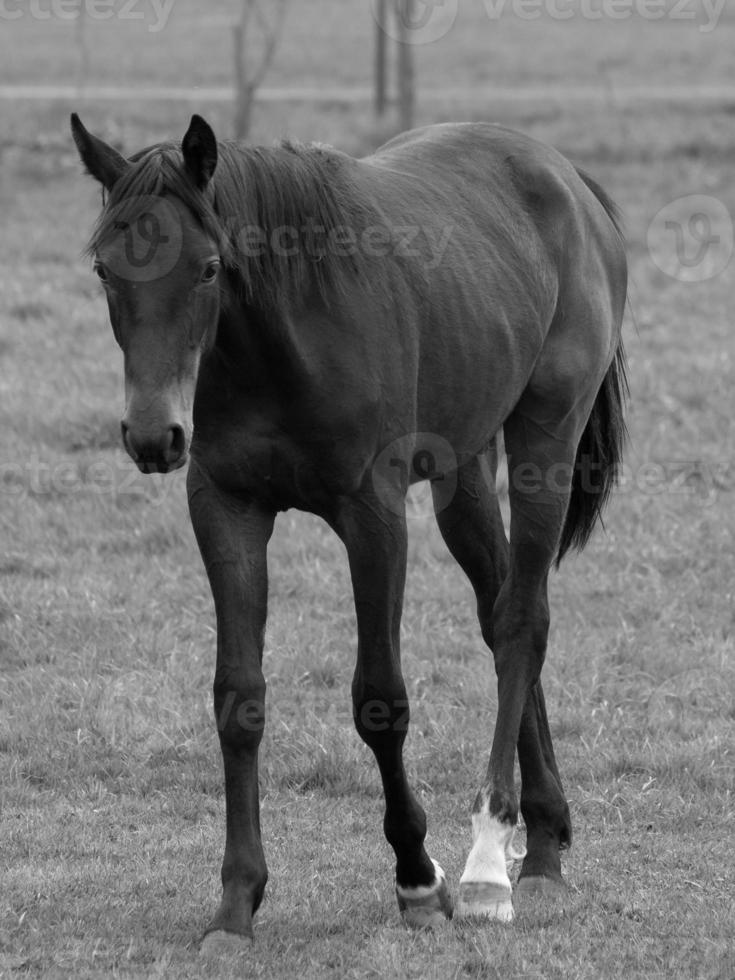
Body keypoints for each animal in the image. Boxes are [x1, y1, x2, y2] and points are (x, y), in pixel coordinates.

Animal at [73, 111, 628, 944]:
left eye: (207, 268)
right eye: (106, 270)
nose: (152, 436)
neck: (282, 337)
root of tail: (566, 178)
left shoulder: (372, 516)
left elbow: (379, 701)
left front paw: (417, 878)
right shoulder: (225, 509)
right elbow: (237, 698)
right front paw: (236, 902)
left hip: (545, 440)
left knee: (523, 622)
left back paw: (489, 866)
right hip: (465, 470)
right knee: (499, 613)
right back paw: (544, 841)